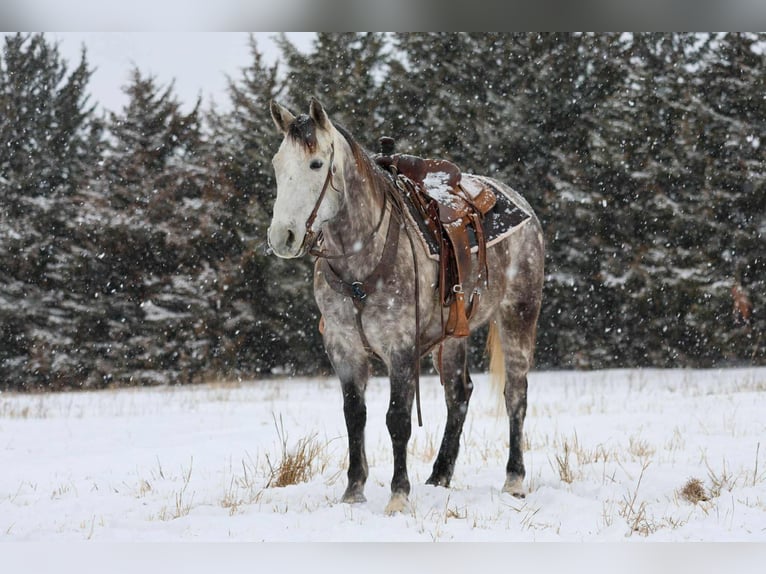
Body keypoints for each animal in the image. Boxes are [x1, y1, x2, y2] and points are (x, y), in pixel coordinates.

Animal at [267, 97, 544, 514]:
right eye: (277, 164)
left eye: (316, 164)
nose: (282, 236)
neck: (360, 260)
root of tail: (523, 205)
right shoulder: (343, 348)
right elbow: (355, 416)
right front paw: (353, 491)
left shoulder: (400, 347)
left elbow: (397, 418)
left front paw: (398, 496)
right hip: (454, 335)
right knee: (459, 395)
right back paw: (440, 476)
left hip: (518, 315)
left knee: (515, 396)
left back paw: (514, 479)